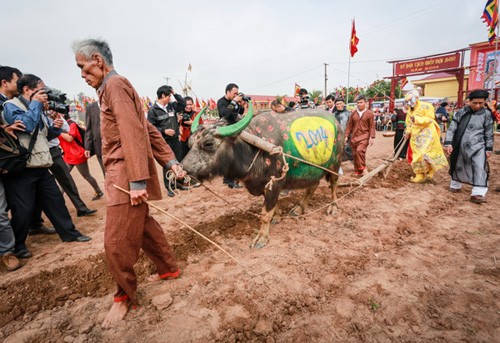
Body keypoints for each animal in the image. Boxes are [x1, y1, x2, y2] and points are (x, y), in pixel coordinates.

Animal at [183, 103, 344, 249]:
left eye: (208, 144)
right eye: (190, 143)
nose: (184, 170)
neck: (254, 148)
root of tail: (337, 123)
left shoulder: (274, 185)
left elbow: (265, 214)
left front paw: (262, 238)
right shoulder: (264, 187)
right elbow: (273, 207)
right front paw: (277, 218)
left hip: (334, 165)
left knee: (333, 185)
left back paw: (333, 207)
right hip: (313, 169)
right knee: (313, 186)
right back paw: (299, 208)